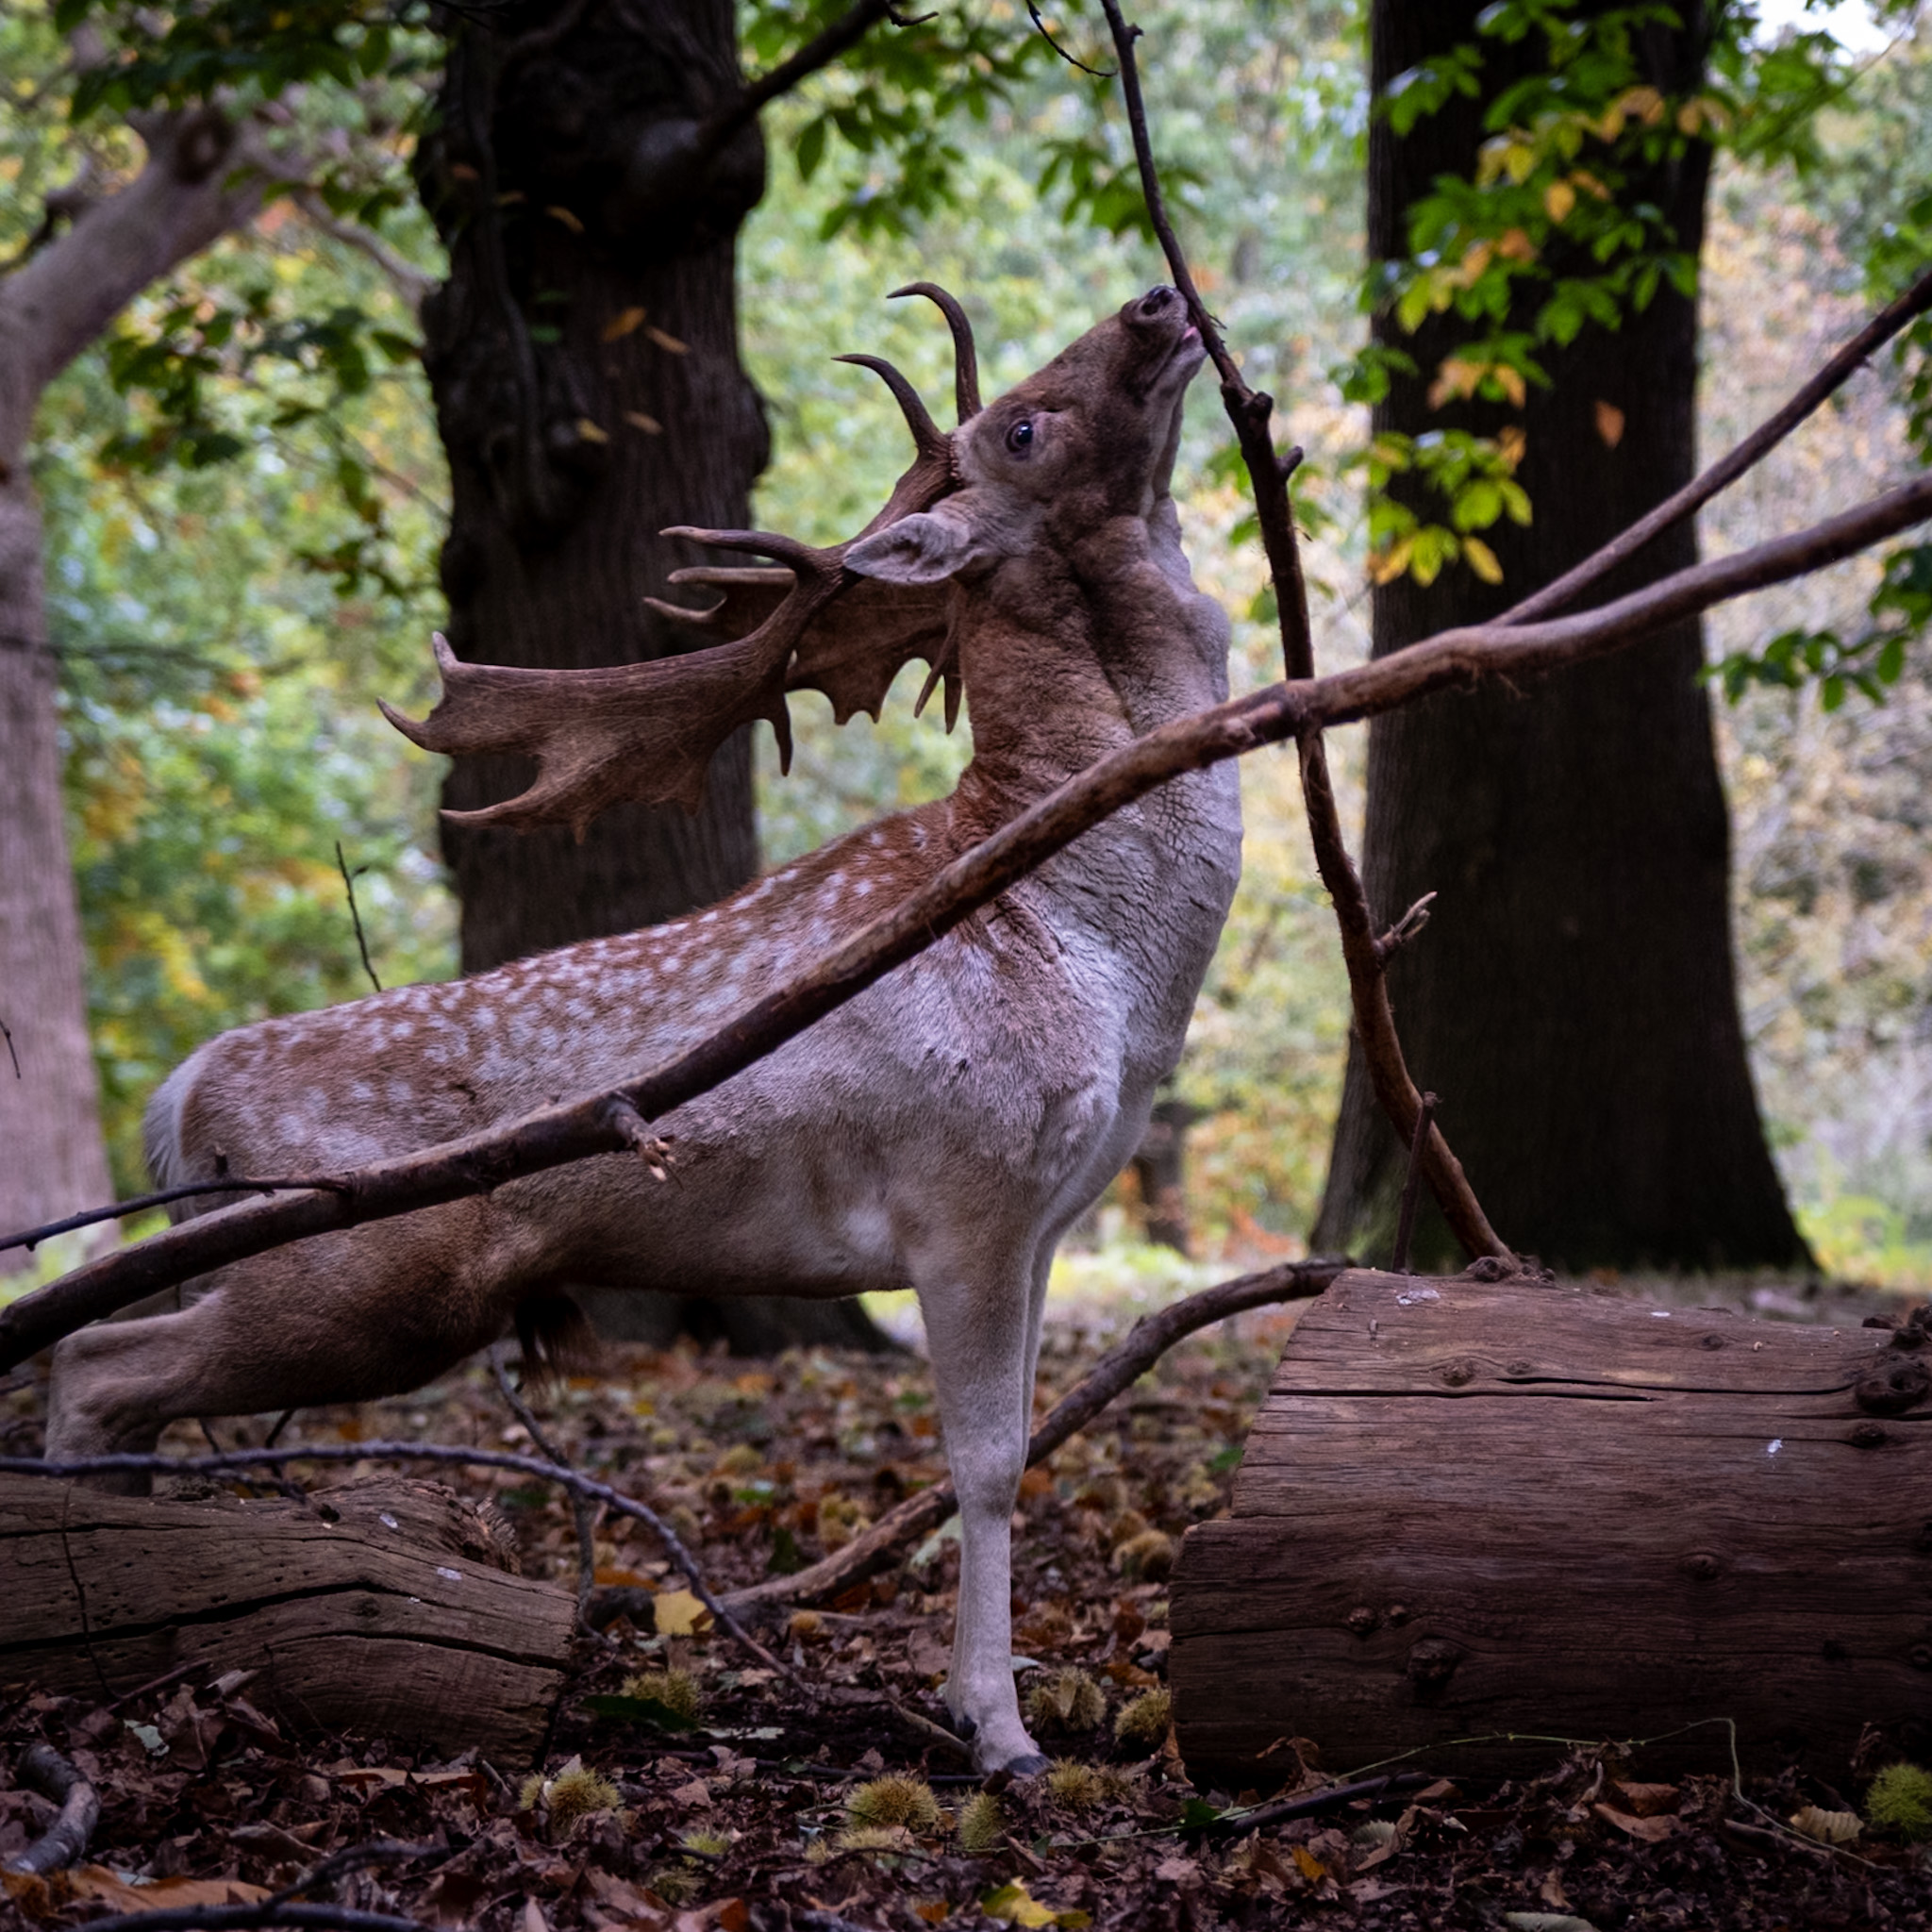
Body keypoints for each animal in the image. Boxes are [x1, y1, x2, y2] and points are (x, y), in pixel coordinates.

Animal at [44, 283, 1242, 1775]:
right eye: (1023, 424)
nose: (1156, 302)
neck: (1094, 950)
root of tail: (179, 1098)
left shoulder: (1049, 1216)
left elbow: (1023, 1446)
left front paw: (989, 1706)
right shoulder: (962, 1192)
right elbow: (985, 1466)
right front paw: (999, 1730)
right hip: (353, 1274)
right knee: (92, 1358)